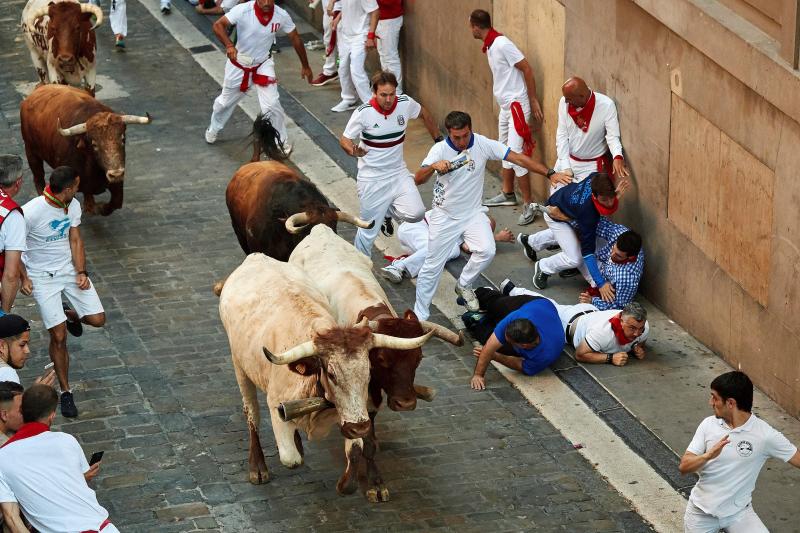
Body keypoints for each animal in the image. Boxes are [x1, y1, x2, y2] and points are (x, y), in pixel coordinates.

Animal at [20, 84, 151, 215]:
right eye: (94, 145)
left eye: (123, 139)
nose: (116, 173)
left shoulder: (116, 183)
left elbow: (116, 202)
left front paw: (98, 207)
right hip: (31, 151)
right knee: (38, 177)